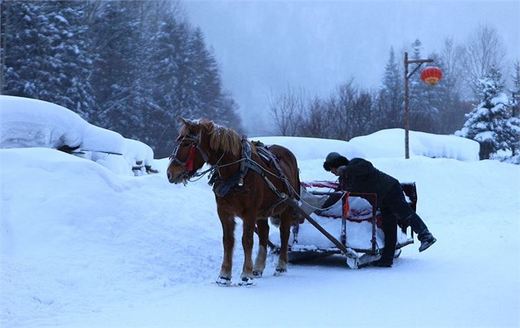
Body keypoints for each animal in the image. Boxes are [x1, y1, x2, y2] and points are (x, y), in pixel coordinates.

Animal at [167, 119, 300, 286]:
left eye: (185, 144)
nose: (170, 173)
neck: (236, 172)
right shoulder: (224, 212)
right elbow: (228, 241)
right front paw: (224, 275)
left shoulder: (250, 213)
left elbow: (247, 240)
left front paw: (246, 274)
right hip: (263, 212)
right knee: (264, 233)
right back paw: (258, 268)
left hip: (287, 207)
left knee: (284, 234)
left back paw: (281, 266)